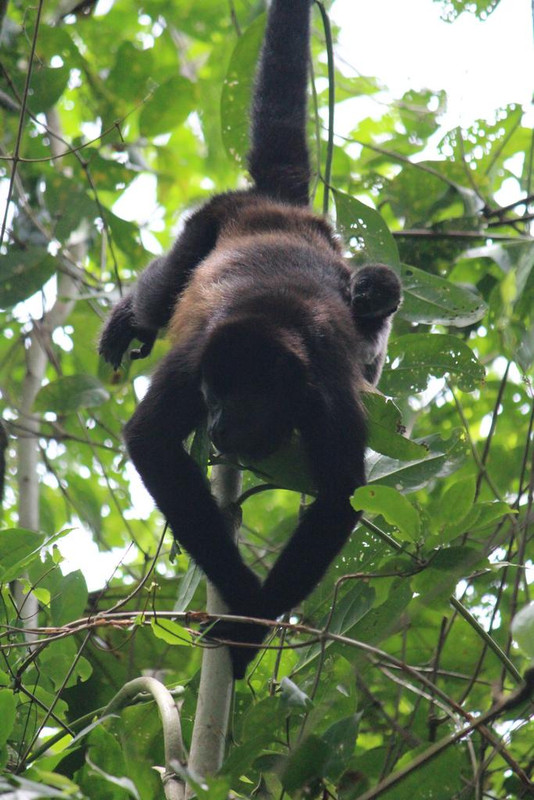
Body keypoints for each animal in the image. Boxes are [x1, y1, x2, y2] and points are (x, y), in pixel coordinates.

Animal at [100, 0, 402, 680]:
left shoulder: (327, 391)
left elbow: (340, 495)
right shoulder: (193, 363)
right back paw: (130, 317)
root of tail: (277, 208)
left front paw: (250, 622)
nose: (215, 425)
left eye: (239, 403)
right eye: (212, 398)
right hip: (213, 216)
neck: (273, 325)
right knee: (164, 292)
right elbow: (151, 441)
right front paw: (241, 599)